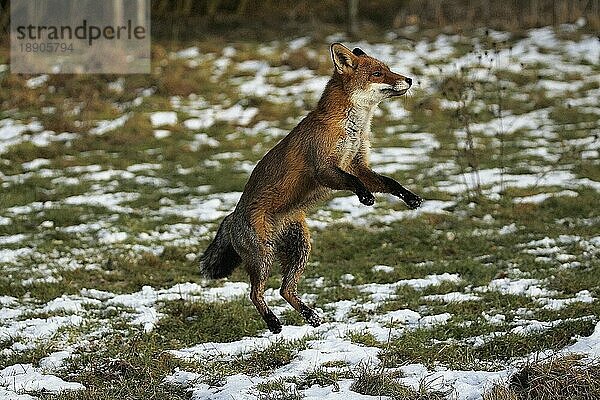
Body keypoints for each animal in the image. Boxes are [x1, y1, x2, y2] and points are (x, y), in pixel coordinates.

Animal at [200, 42, 422, 332]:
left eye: (388, 69)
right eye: (377, 73)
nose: (409, 80)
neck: (351, 129)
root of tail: (232, 216)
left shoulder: (358, 164)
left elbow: (389, 182)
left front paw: (410, 198)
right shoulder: (325, 169)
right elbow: (353, 183)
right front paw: (364, 196)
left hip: (300, 249)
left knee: (285, 289)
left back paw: (309, 315)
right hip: (263, 257)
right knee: (255, 293)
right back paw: (273, 322)